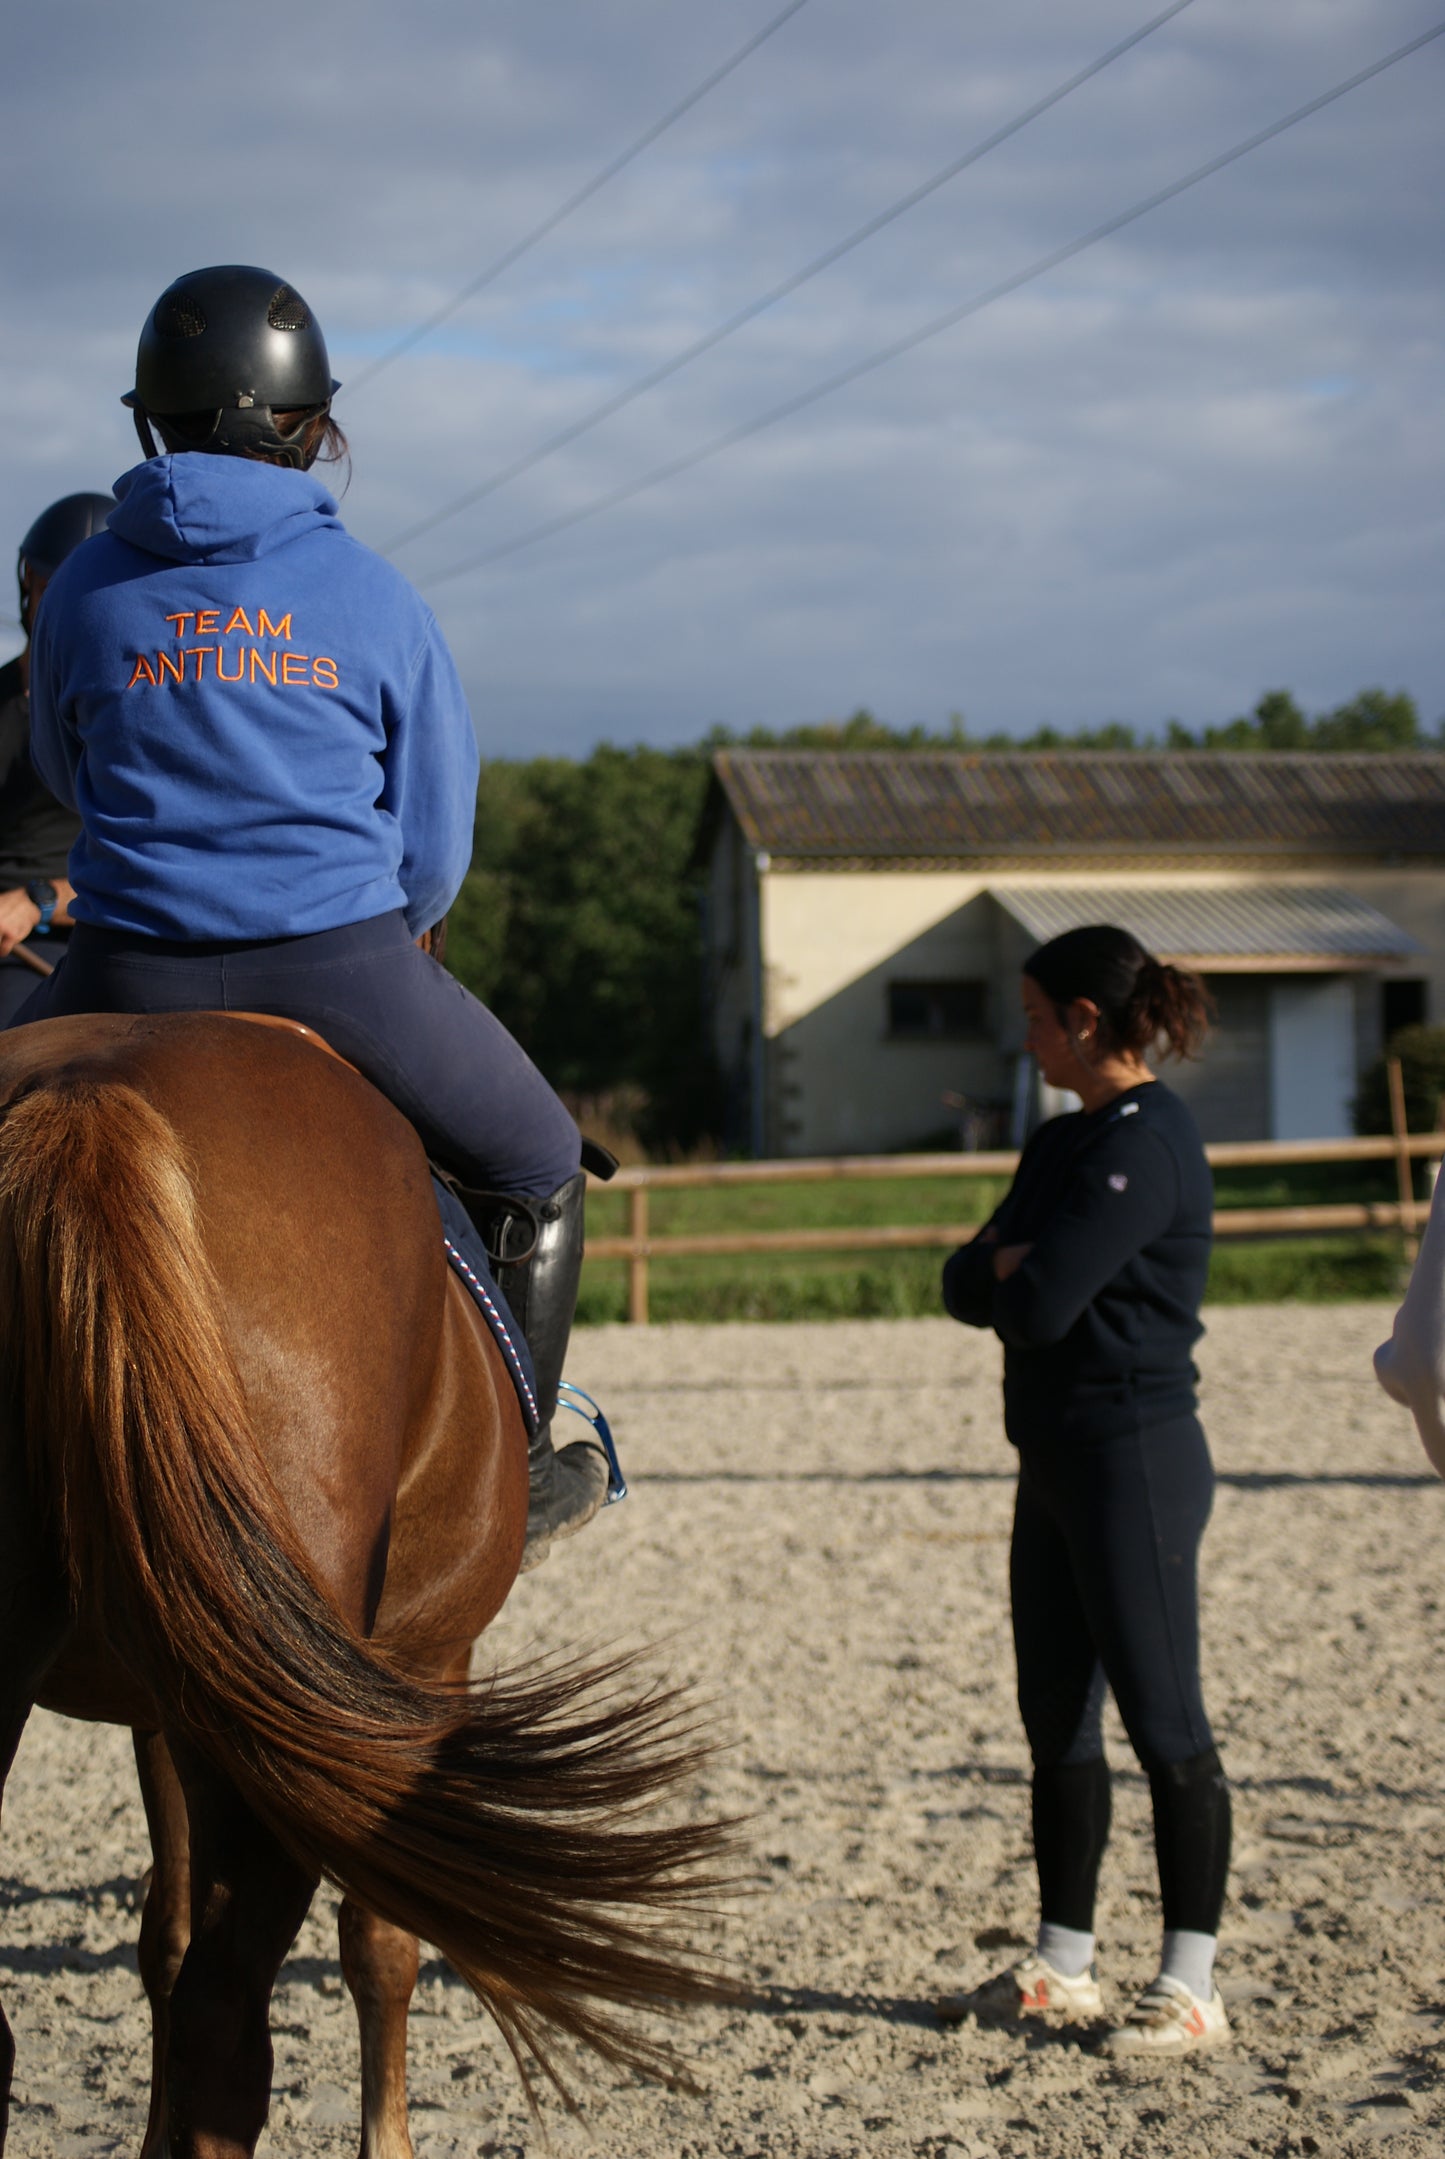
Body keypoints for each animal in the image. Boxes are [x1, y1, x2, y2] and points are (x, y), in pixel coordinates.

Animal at [0, 1014, 725, 2159]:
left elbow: (161, 1933)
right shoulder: (421, 1661)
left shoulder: (168, 1700)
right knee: (225, 2031)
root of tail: (87, 1109)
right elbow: (382, 1936)